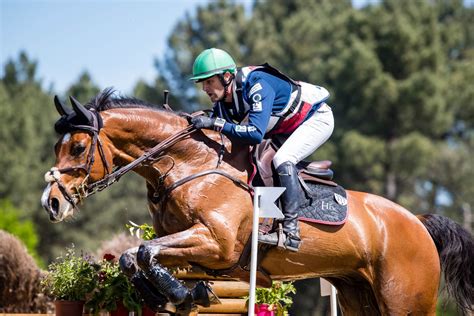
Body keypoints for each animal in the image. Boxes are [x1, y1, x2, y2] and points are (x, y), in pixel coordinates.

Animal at [41, 89, 474, 316]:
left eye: (77, 147)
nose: (51, 204)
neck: (190, 163)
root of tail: (417, 222)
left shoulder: (217, 243)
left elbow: (144, 251)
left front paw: (180, 295)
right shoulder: (191, 246)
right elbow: (135, 257)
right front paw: (177, 294)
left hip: (405, 300)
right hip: (358, 296)